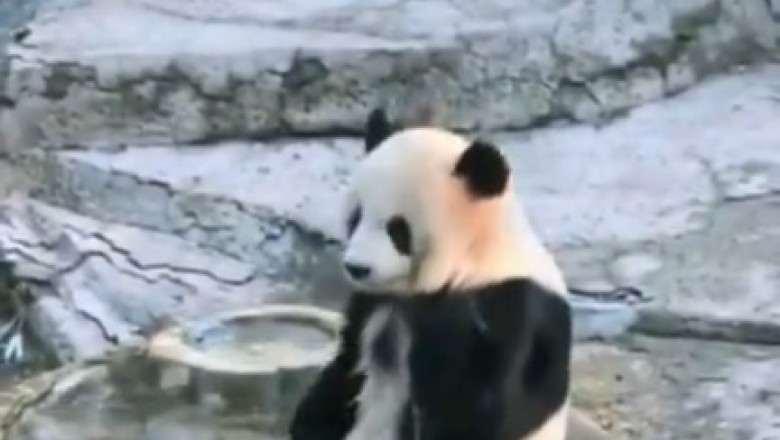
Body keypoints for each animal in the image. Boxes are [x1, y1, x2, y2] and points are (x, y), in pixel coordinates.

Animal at [290, 108, 573, 440]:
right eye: (356, 217)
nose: (357, 267)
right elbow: (347, 367)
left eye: (398, 229)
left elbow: (480, 406)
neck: (474, 252)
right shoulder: (375, 304)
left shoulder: (505, 303)